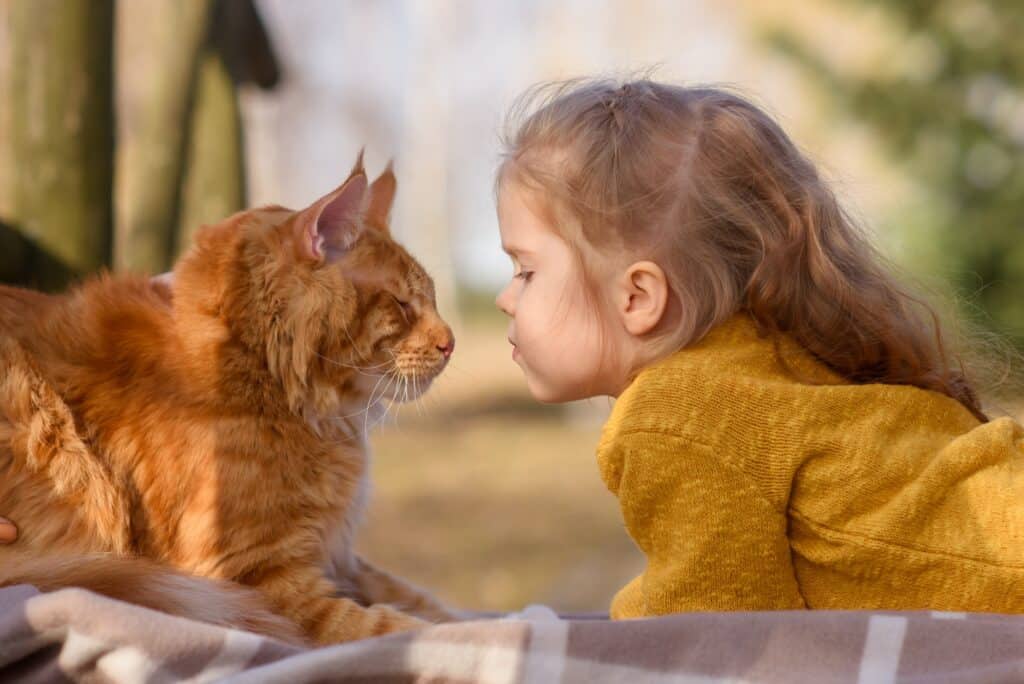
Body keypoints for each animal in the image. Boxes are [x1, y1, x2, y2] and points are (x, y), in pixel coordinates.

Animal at [0, 154, 456, 647]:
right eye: (402, 304)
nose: (451, 343)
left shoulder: (338, 558)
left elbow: (428, 602)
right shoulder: (255, 579)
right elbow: (399, 629)